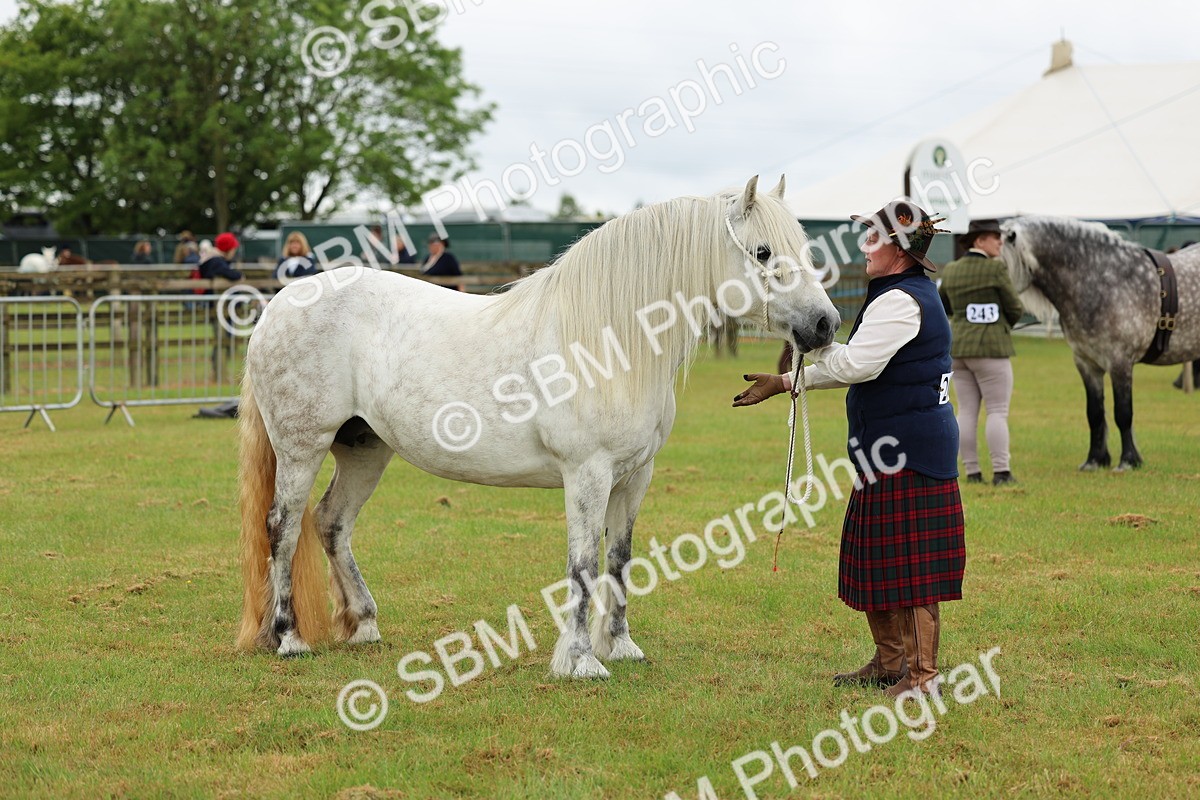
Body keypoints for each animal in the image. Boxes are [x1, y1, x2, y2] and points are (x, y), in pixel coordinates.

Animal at [236, 175, 841, 678]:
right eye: (762, 252)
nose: (825, 324)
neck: (609, 342)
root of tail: (280, 306)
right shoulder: (588, 474)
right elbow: (583, 564)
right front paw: (580, 662)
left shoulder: (635, 476)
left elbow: (619, 560)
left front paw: (621, 647)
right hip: (302, 448)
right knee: (283, 528)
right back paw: (288, 638)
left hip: (365, 449)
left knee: (332, 523)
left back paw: (363, 625)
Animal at [1000, 216, 1200, 470]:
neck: (1103, 280)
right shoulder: (1087, 363)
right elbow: (1094, 414)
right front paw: (1095, 460)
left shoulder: (1120, 362)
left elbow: (1123, 413)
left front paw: (1128, 461)